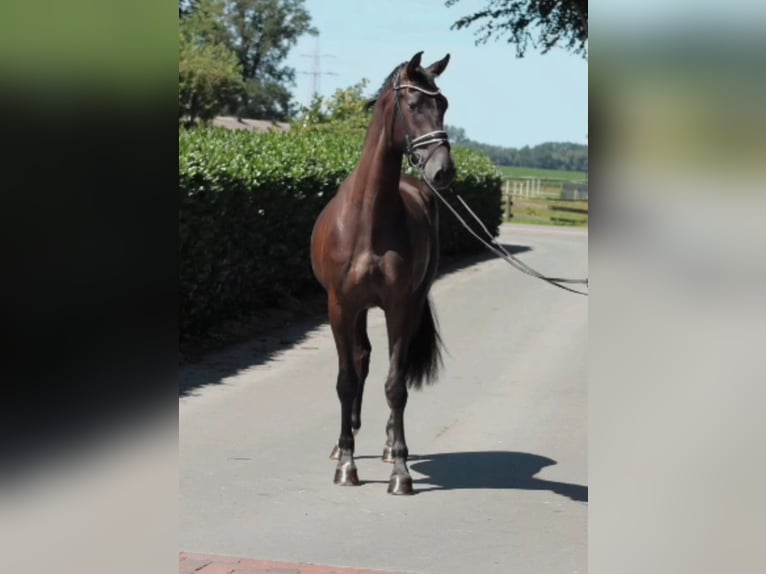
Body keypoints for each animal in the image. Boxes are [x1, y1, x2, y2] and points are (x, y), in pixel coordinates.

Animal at [309, 51, 456, 495]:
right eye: (414, 104)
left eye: (444, 105)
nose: (443, 171)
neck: (369, 218)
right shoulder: (340, 306)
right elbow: (346, 378)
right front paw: (346, 464)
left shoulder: (399, 306)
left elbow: (396, 384)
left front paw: (401, 471)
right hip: (356, 310)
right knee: (361, 358)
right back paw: (346, 442)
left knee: (391, 367)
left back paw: (391, 446)